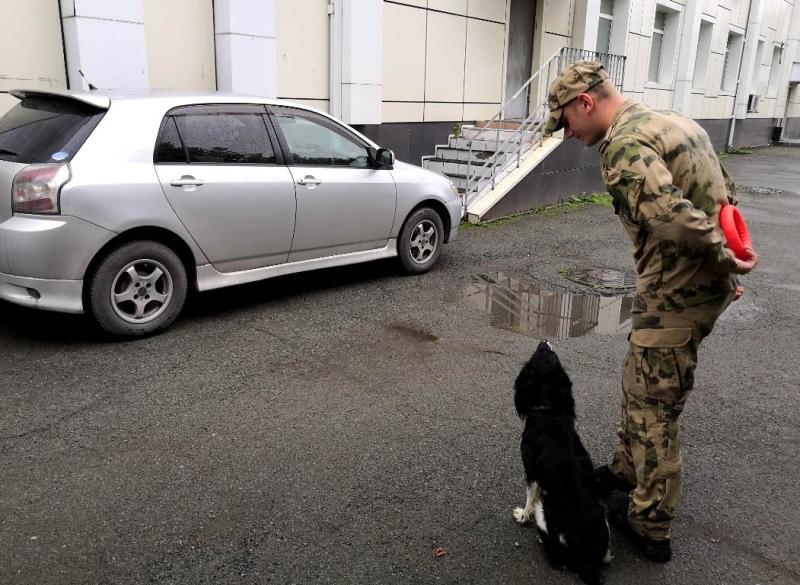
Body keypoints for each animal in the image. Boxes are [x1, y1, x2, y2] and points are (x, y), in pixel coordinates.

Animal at [512, 340, 612, 580]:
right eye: (552, 355)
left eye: (542, 352)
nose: (544, 341)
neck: (547, 411)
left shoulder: (531, 470)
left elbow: (529, 497)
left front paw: (522, 515)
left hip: (545, 511)